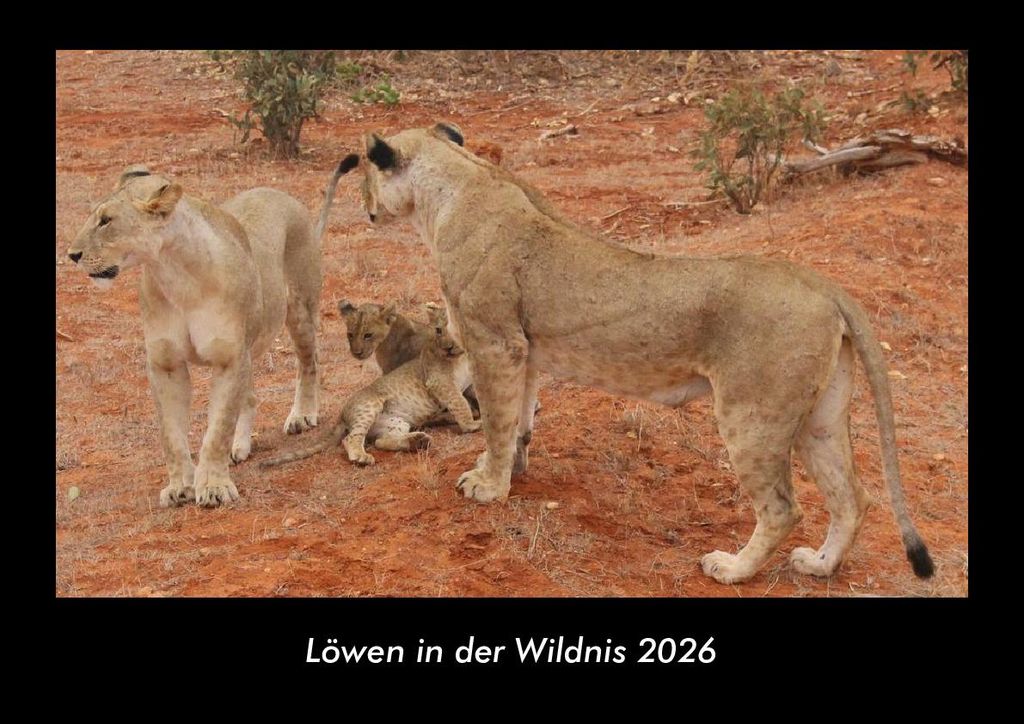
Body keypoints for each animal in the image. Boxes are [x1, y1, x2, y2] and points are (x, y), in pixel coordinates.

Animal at [65, 157, 356, 507]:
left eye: (106, 220)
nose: (71, 255)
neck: (177, 276)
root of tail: (282, 195)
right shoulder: (166, 363)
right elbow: (171, 435)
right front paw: (180, 486)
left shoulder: (229, 358)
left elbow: (217, 429)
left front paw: (214, 486)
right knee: (251, 396)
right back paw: (240, 447)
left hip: (299, 310)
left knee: (309, 362)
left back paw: (302, 415)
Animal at [260, 303, 479, 468]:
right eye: (439, 330)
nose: (449, 347)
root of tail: (342, 415)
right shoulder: (439, 382)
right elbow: (461, 403)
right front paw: (472, 424)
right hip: (369, 406)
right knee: (352, 438)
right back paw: (362, 457)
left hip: (396, 422)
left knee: (382, 440)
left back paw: (417, 441)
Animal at [332, 122, 936, 585]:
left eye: (363, 174)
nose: (363, 207)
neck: (454, 188)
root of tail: (822, 284)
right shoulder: (524, 350)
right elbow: (520, 421)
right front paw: (512, 472)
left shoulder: (493, 341)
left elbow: (496, 423)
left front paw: (487, 486)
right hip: (819, 416)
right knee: (853, 497)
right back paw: (819, 565)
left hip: (753, 415)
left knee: (784, 508)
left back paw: (731, 568)